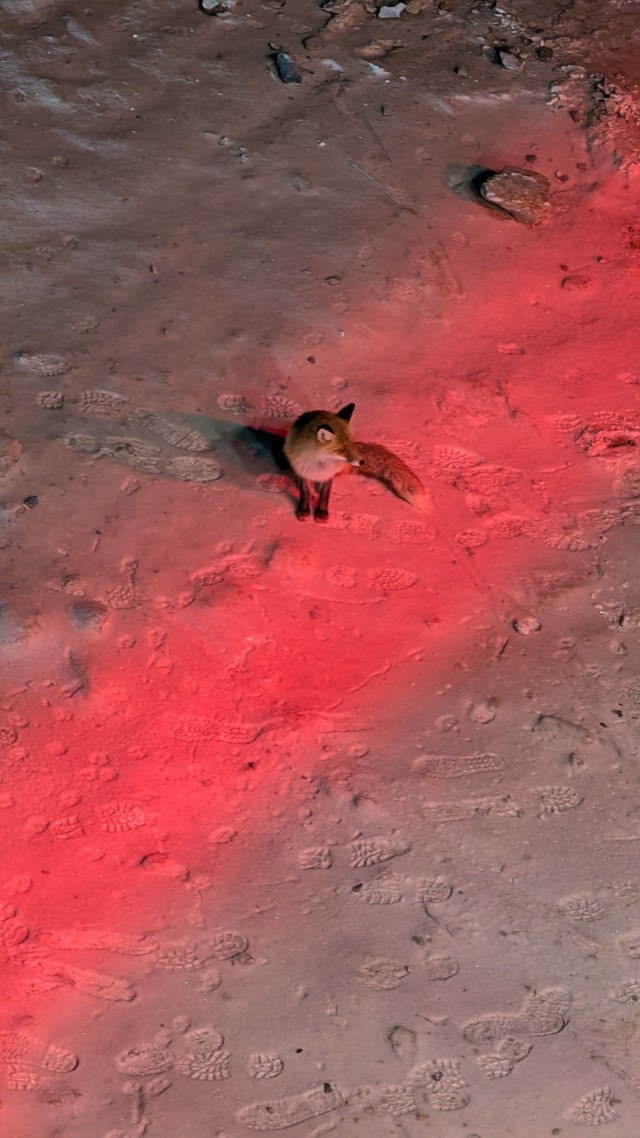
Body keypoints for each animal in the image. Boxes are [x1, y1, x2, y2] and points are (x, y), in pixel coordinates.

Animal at [283, 402, 429, 522]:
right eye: (342, 450)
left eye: (352, 444)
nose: (362, 461)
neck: (319, 464)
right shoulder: (301, 471)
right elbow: (305, 492)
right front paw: (304, 510)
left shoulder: (329, 475)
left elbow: (325, 494)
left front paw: (322, 512)